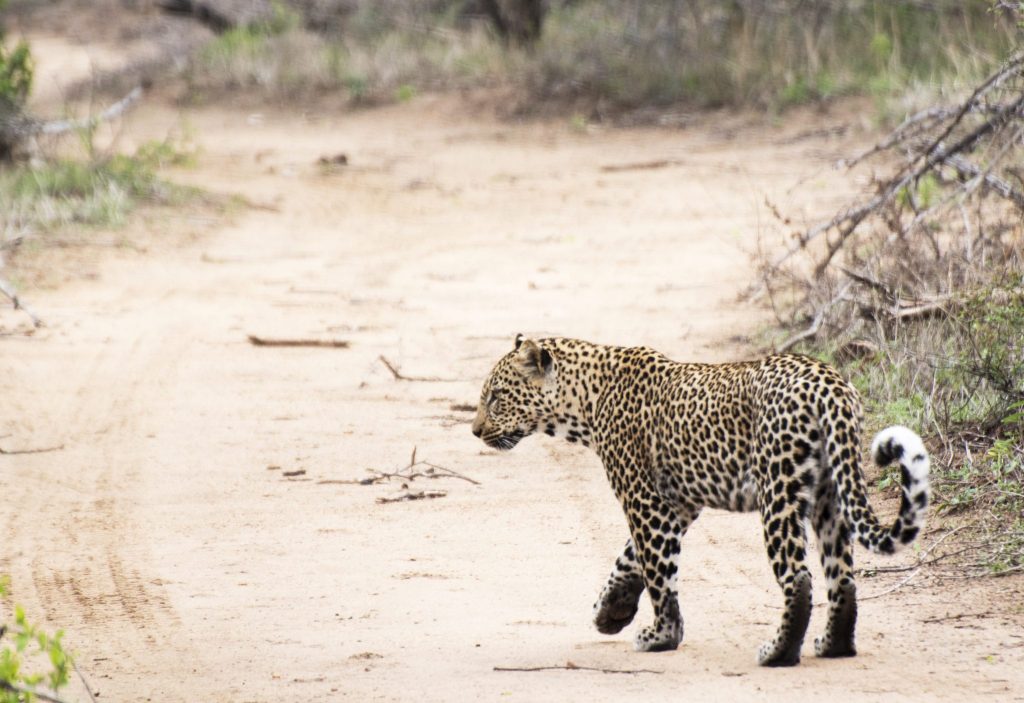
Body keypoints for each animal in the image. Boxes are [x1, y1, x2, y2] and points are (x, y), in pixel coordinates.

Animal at [471, 335, 929, 667]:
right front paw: (611, 610)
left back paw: (777, 653)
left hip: (779, 490)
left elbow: (657, 571)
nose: (475, 430)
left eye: (496, 396)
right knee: (842, 577)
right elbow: (630, 558)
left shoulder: (644, 500)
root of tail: (829, 382)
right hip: (830, 495)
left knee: (798, 579)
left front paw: (661, 636)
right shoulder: (677, 505)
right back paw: (833, 645)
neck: (585, 400)